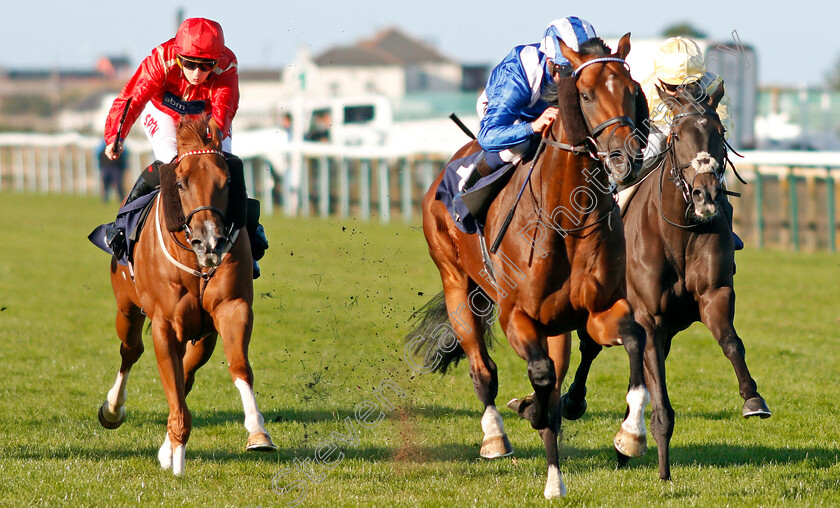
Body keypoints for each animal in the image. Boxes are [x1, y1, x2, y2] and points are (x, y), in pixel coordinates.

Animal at [97, 116, 276, 476]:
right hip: (127, 307)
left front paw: (257, 431)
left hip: (203, 333)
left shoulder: (231, 308)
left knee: (186, 373)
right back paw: (112, 408)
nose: (210, 242)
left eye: (227, 181)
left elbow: (236, 366)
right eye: (180, 183)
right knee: (131, 351)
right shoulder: (165, 324)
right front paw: (178, 455)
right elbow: (171, 383)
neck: (196, 263)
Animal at [410, 36, 652, 500]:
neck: (567, 221)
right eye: (587, 94)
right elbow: (539, 378)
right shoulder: (516, 315)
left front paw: (631, 433)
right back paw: (495, 436)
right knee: (483, 369)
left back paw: (554, 478)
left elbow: (632, 337)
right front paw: (527, 408)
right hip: (456, 284)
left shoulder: (597, 309)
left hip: (555, 324)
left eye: (634, 91)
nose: (625, 157)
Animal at [560, 82, 772, 480]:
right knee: (591, 348)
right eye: (677, 135)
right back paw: (576, 403)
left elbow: (731, 341)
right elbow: (659, 396)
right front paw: (663, 470)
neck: (680, 232)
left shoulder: (714, 295)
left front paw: (753, 399)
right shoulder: (648, 319)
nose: (706, 194)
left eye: (720, 132)